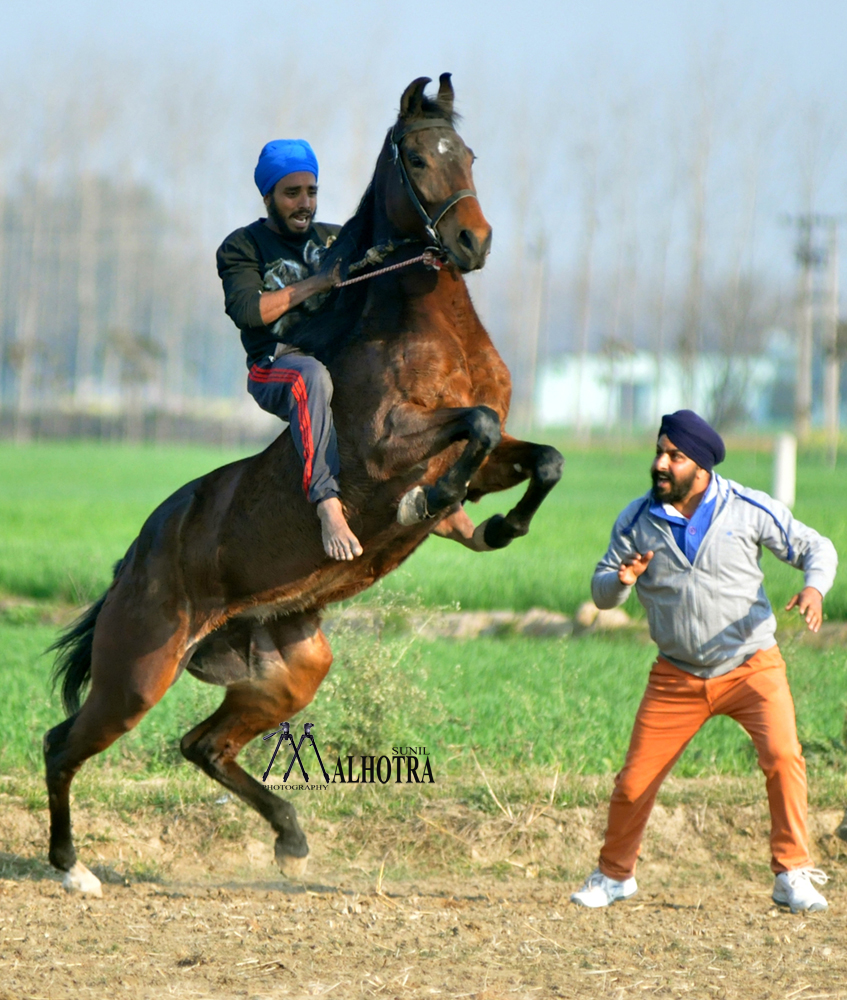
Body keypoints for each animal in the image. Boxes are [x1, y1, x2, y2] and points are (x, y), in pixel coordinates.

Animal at [44, 74, 564, 896]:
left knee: (202, 745)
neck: (425, 328)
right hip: (137, 673)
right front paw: (431, 502)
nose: (471, 243)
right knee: (62, 745)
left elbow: (541, 458)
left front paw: (495, 526)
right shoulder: (385, 447)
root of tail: (135, 557)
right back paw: (71, 868)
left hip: (287, 671)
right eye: (419, 156)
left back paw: (290, 838)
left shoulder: (492, 459)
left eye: (468, 154)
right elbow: (474, 426)